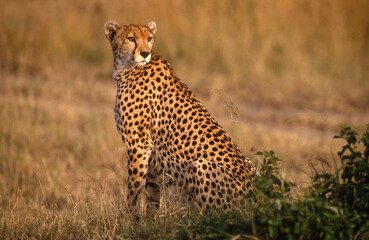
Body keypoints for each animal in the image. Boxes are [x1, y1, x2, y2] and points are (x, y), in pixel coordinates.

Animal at [103, 20, 253, 215]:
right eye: (130, 38)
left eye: (149, 38)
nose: (145, 53)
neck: (126, 68)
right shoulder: (151, 154)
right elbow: (151, 194)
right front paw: (148, 221)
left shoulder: (139, 145)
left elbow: (134, 191)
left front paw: (128, 219)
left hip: (199, 166)